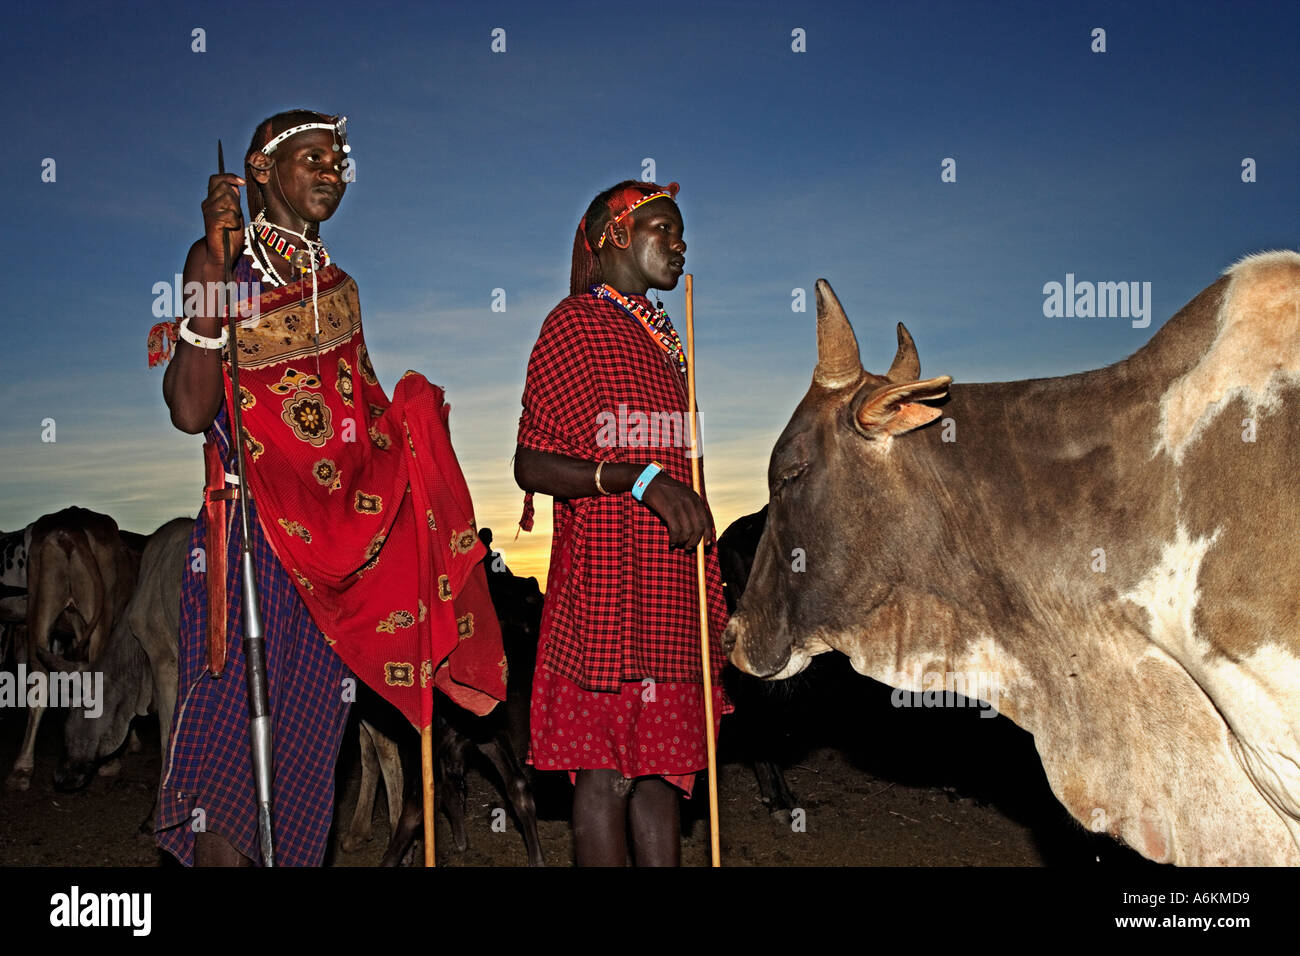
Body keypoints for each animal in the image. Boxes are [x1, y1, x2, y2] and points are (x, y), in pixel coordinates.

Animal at [6, 504, 135, 790]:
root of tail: (70, 526)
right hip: (100, 618)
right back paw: (108, 763)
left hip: (40, 608)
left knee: (38, 685)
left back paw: (22, 769)